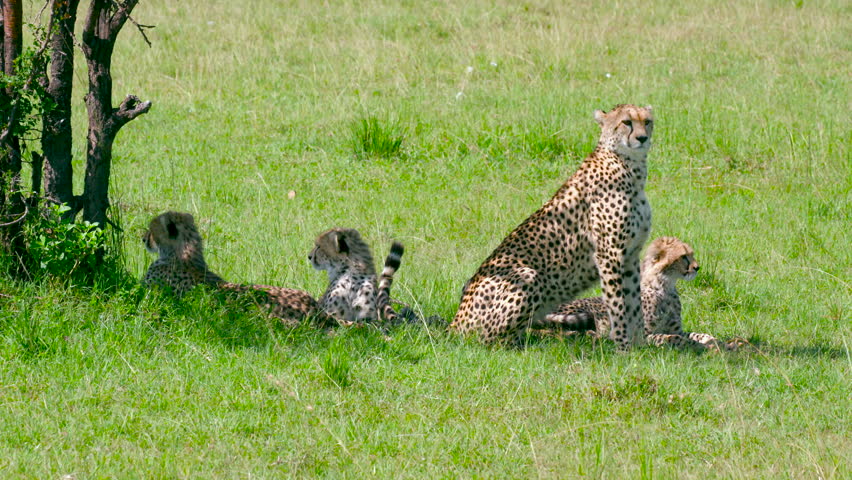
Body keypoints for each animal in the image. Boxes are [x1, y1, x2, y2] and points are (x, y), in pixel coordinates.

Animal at [450, 104, 654, 350]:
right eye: (626, 122)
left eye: (647, 121)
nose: (642, 138)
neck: (630, 166)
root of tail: (454, 323)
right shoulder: (610, 254)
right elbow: (619, 305)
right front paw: (623, 347)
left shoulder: (631, 255)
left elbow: (634, 305)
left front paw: (641, 346)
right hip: (526, 275)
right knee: (494, 342)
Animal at [543, 236, 731, 349]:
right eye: (684, 256)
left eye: (691, 255)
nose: (697, 268)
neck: (663, 287)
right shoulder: (641, 335)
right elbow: (672, 338)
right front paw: (696, 345)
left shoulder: (677, 328)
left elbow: (698, 334)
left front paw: (713, 340)